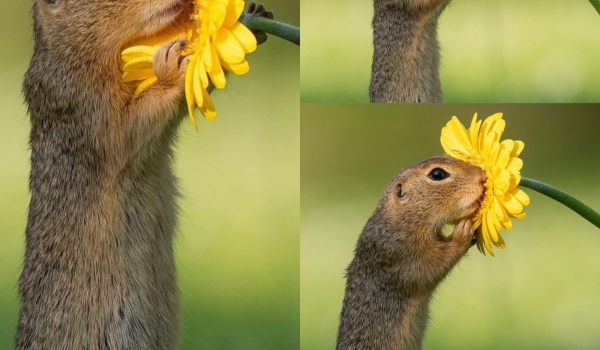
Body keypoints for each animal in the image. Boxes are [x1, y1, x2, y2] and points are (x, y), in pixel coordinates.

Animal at [336, 157, 486, 350]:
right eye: (437, 174)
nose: (482, 176)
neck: (402, 221)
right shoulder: (399, 256)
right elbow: (432, 266)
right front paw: (462, 233)